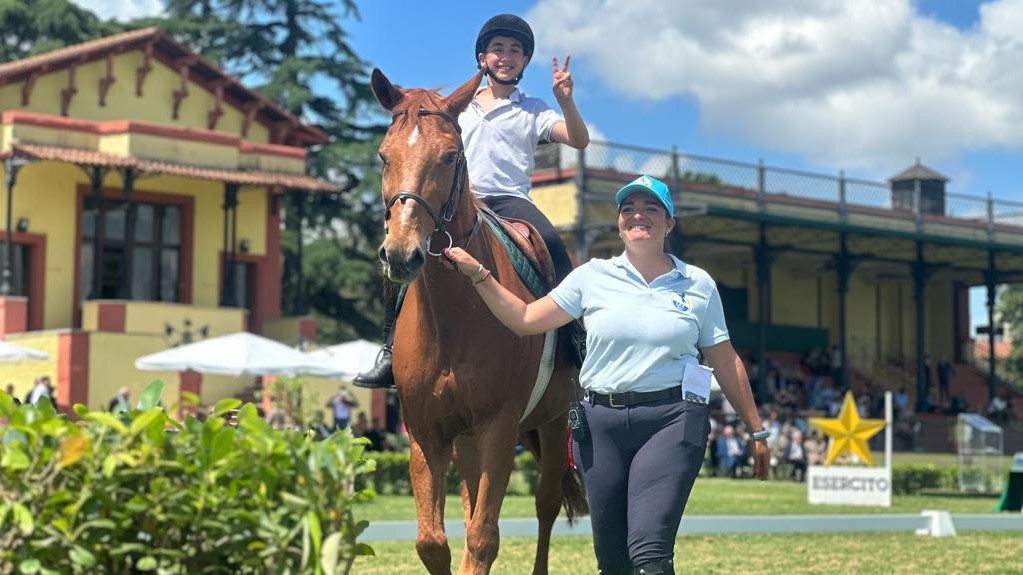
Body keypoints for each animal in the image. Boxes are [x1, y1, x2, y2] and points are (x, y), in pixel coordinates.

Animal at [369, 67, 588, 575]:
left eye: (450, 157)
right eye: (384, 156)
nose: (401, 255)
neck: (453, 318)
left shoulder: (498, 426)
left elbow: (483, 537)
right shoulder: (426, 431)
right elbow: (434, 542)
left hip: (553, 425)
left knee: (546, 505)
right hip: (466, 438)